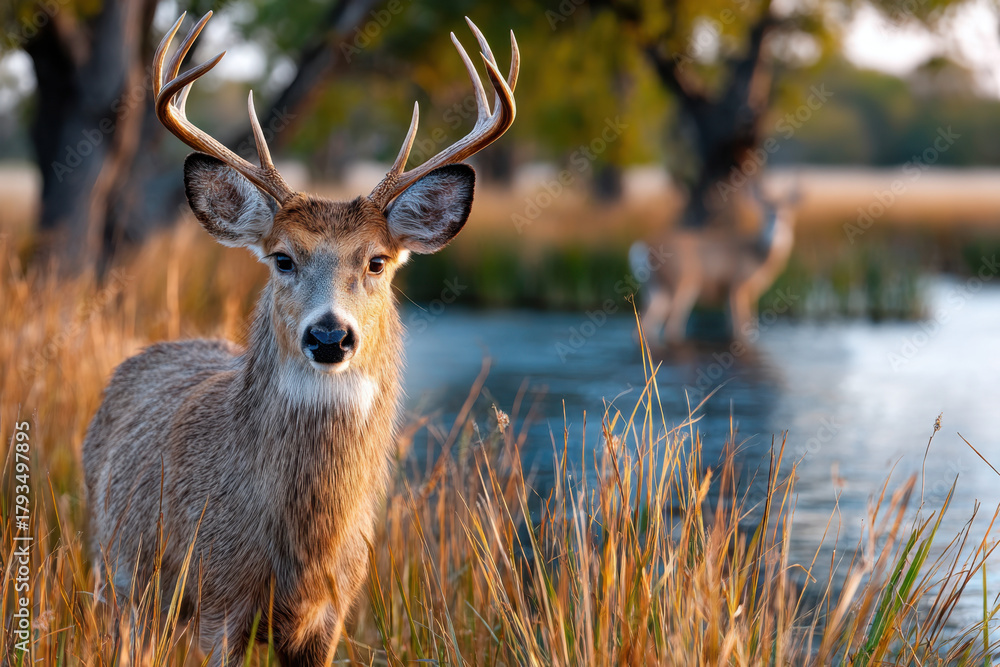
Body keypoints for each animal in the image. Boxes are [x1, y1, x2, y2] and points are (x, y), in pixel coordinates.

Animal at [82, 11, 517, 665]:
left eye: (377, 261)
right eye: (283, 258)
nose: (330, 335)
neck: (300, 548)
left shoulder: (335, 607)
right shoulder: (217, 598)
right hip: (119, 580)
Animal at [630, 181, 800, 344]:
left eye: (787, 216)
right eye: (766, 215)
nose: (778, 231)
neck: (758, 255)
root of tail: (640, 246)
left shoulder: (743, 292)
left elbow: (738, 324)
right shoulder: (737, 284)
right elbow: (741, 328)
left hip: (653, 287)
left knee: (646, 323)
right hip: (680, 281)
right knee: (671, 326)